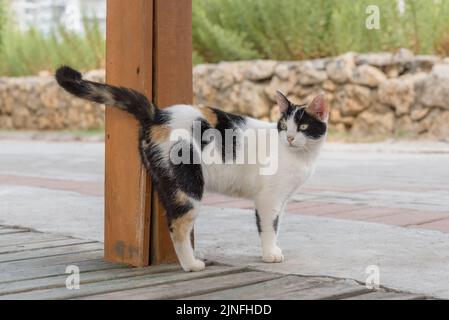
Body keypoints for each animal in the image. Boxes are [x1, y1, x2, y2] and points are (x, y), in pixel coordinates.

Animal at [57, 66, 328, 272]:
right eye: (284, 125)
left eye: (302, 127)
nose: (290, 138)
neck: (302, 157)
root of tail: (158, 114)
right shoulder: (269, 199)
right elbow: (269, 226)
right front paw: (270, 254)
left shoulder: (283, 200)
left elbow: (277, 223)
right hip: (188, 186)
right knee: (178, 227)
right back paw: (191, 264)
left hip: (168, 181)